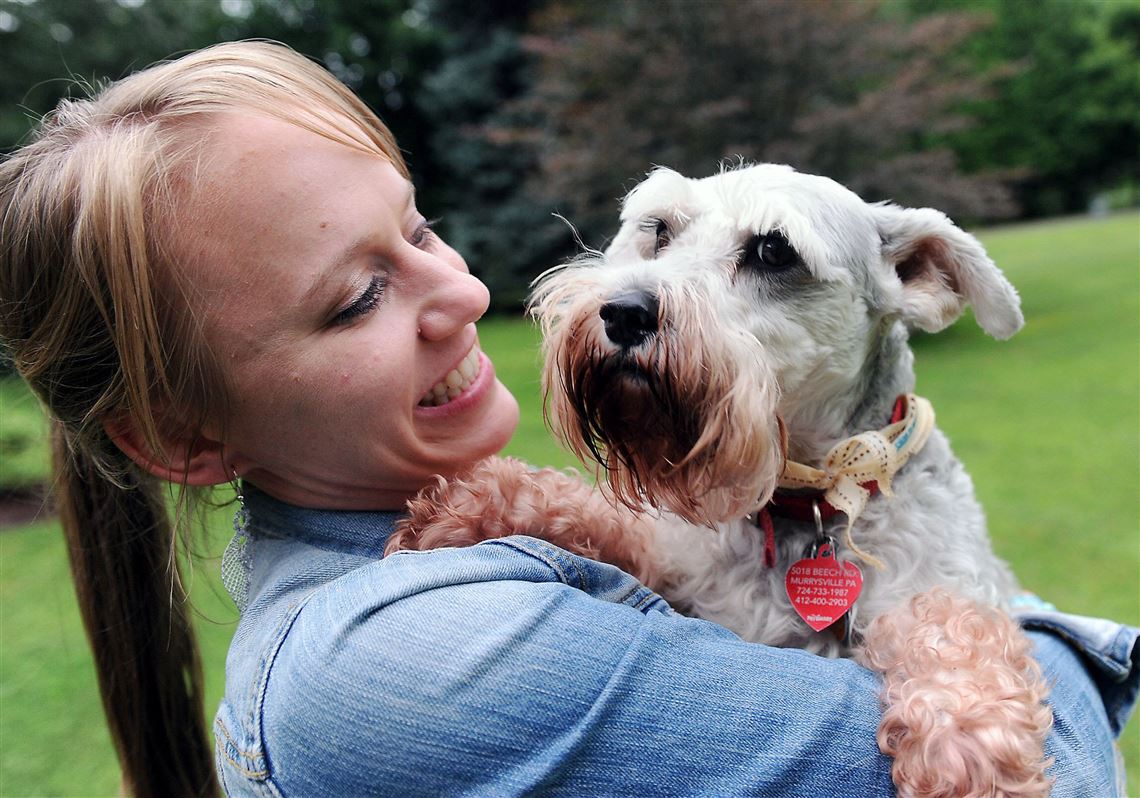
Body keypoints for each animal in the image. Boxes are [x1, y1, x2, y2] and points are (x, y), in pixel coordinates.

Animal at [387, 165, 1053, 793]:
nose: (623, 311)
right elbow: (603, 517)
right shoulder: (677, 561)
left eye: (773, 250)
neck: (799, 502)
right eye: (659, 231)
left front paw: (968, 742)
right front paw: (472, 502)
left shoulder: (948, 581)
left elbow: (949, 625)